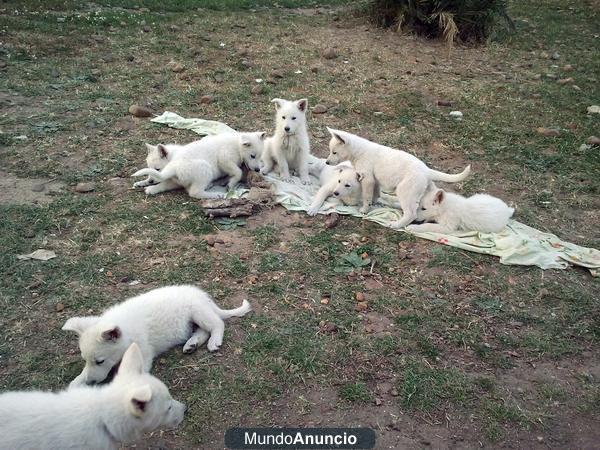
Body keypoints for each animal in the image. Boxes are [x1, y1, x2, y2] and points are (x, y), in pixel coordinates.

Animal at [64, 284, 252, 386]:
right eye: (86, 360)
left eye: (100, 361)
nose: (90, 382)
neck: (128, 332)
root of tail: (204, 297)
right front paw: (77, 381)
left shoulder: (143, 355)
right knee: (203, 330)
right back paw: (192, 344)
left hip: (198, 312)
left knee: (217, 324)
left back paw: (214, 341)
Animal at [132, 132, 266, 199]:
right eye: (252, 156)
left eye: (259, 157)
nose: (257, 169)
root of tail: (175, 165)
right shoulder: (224, 159)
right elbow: (238, 172)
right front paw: (144, 183)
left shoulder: (174, 181)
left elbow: (162, 184)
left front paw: (149, 187)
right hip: (205, 169)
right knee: (194, 192)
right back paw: (216, 194)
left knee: (193, 191)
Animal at [326, 128, 472, 229]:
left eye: (334, 152)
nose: (327, 162)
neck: (359, 151)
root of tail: (427, 170)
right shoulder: (375, 180)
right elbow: (375, 194)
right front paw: (374, 203)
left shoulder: (367, 179)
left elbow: (367, 196)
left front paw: (364, 209)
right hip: (426, 189)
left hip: (405, 190)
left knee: (411, 213)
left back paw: (397, 225)